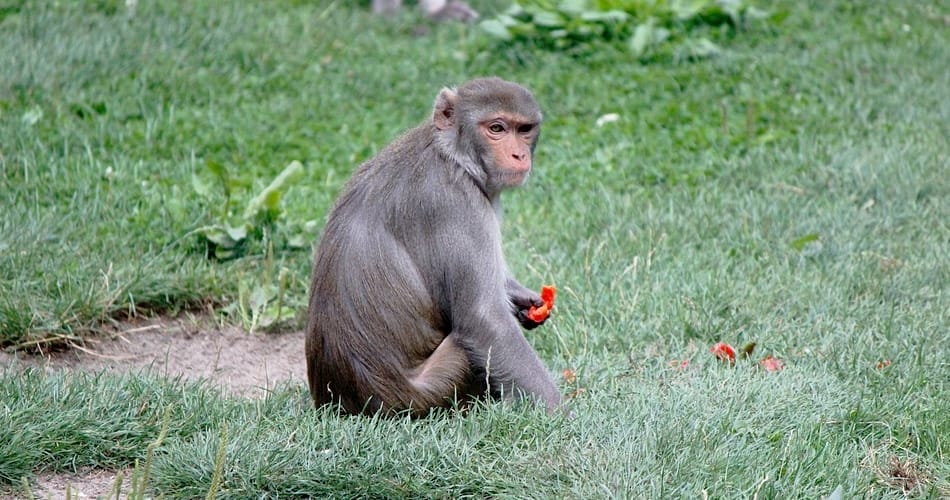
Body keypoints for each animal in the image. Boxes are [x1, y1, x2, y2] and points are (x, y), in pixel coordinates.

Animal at [305, 77, 562, 417]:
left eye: (524, 130)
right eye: (496, 128)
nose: (519, 155)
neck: (452, 155)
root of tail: (344, 401)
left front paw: (526, 301)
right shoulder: (455, 202)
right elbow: (485, 318)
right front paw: (562, 413)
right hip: (431, 390)